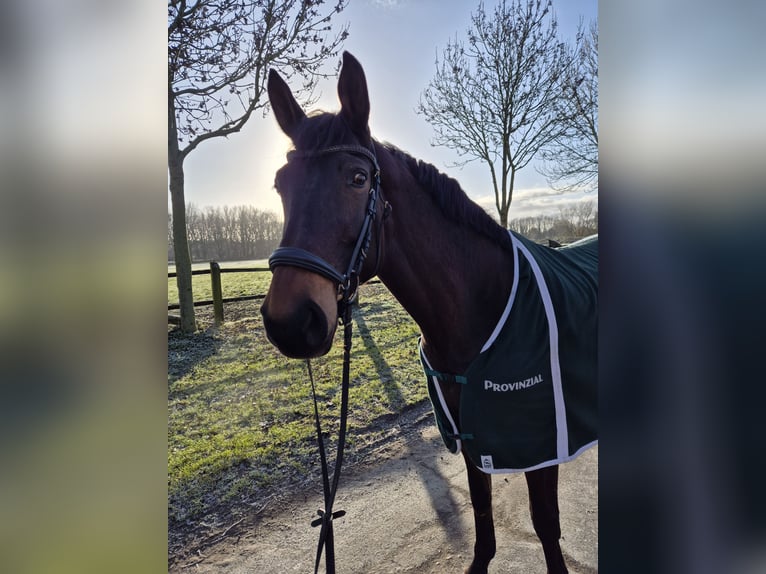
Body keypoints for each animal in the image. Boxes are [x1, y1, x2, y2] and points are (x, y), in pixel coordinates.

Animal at [260, 51, 597, 574]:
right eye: (280, 184)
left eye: (357, 178)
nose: (291, 322)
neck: (480, 309)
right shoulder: (472, 436)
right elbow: (482, 517)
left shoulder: (537, 446)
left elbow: (546, 526)